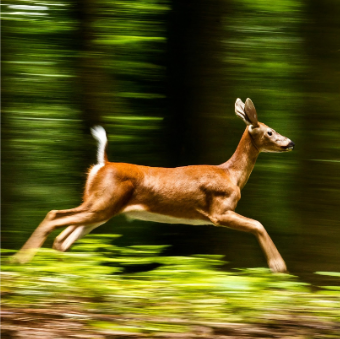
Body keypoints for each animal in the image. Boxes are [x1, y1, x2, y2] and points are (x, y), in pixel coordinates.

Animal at [14, 98, 294, 274]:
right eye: (270, 131)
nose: (290, 142)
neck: (230, 175)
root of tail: (102, 164)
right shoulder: (218, 210)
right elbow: (258, 224)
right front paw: (278, 266)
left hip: (102, 208)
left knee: (63, 237)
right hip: (101, 203)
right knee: (54, 216)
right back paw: (21, 260)